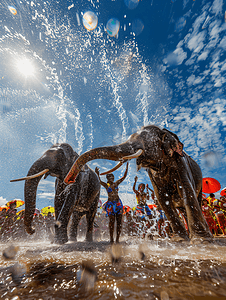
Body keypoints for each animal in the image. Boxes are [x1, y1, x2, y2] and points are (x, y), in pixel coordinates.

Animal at [64, 125, 214, 243]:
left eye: (145, 141)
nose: (68, 180)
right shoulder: (152, 174)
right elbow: (162, 197)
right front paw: (180, 240)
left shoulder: (180, 163)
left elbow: (186, 190)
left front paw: (201, 241)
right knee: (182, 209)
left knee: (195, 200)